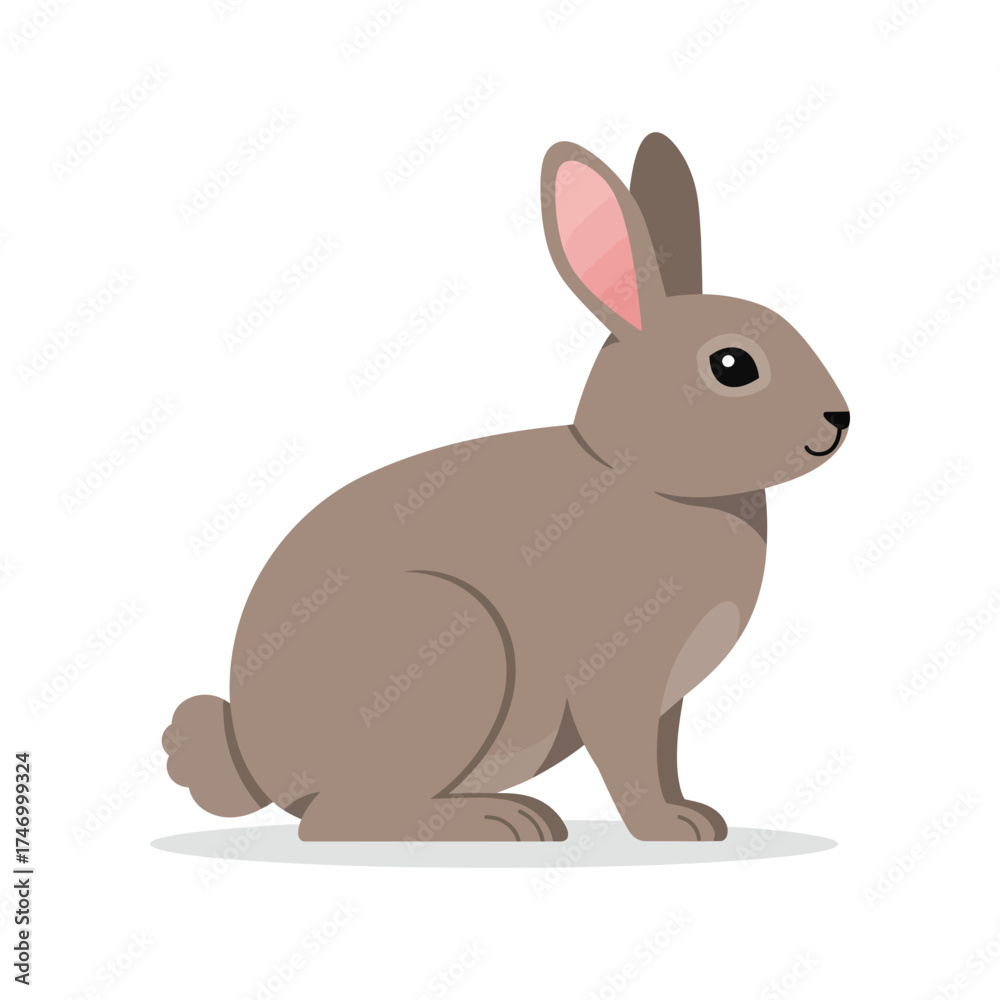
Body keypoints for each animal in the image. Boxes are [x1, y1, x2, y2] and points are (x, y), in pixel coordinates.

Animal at [163, 133, 849, 842]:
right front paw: (668, 830)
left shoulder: (667, 701)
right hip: (452, 643)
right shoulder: (617, 679)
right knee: (338, 820)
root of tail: (256, 760)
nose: (840, 420)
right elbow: (629, 761)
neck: (638, 473)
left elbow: (664, 756)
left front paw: (698, 817)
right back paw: (503, 822)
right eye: (732, 365)